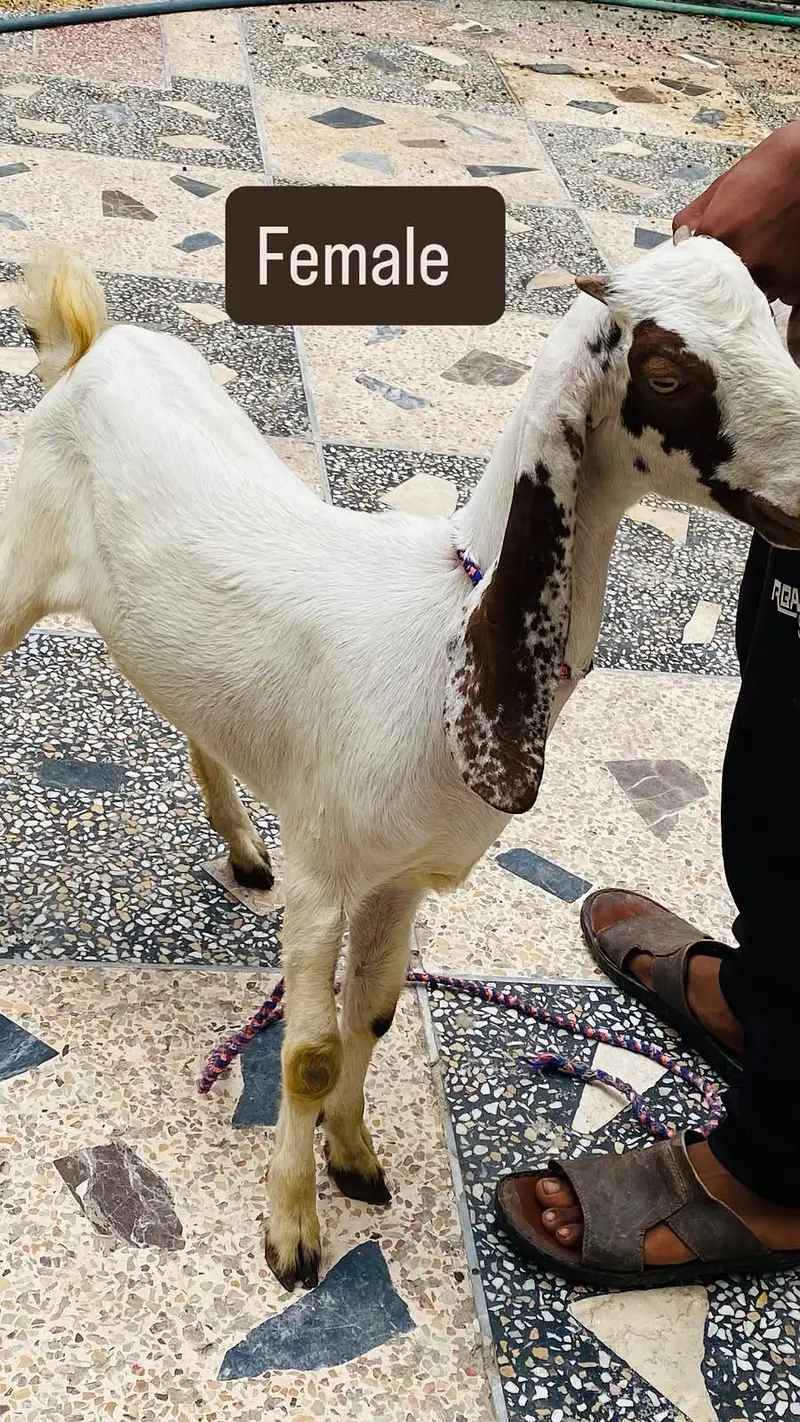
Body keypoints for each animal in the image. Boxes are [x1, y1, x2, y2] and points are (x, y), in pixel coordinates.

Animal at [4, 237, 800, 1292]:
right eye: (667, 371)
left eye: (774, 321)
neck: (446, 625)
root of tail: (89, 348)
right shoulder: (326, 875)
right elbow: (307, 1052)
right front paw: (293, 1231)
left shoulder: (399, 879)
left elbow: (374, 1015)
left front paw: (353, 1158)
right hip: (17, 565)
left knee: (195, 715)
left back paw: (241, 842)